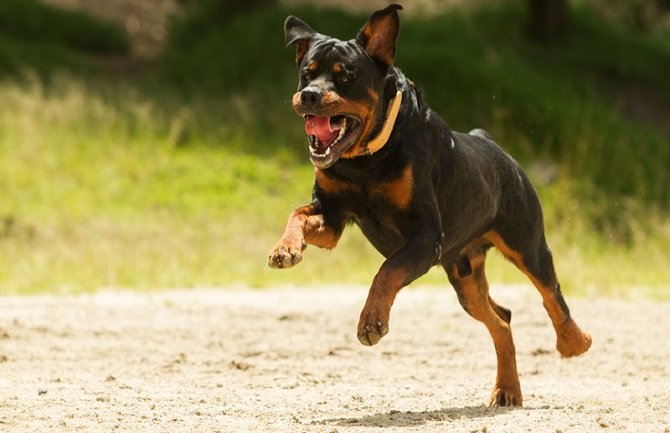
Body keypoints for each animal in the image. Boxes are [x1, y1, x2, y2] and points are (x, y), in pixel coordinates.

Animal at [268, 5, 592, 406]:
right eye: (306, 74)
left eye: (345, 77)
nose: (310, 96)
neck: (367, 159)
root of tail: (494, 146)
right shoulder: (332, 217)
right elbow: (297, 214)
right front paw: (285, 249)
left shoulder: (425, 237)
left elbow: (387, 270)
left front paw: (372, 320)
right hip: (464, 277)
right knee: (501, 319)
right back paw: (506, 389)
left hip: (525, 242)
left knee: (551, 294)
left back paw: (574, 342)